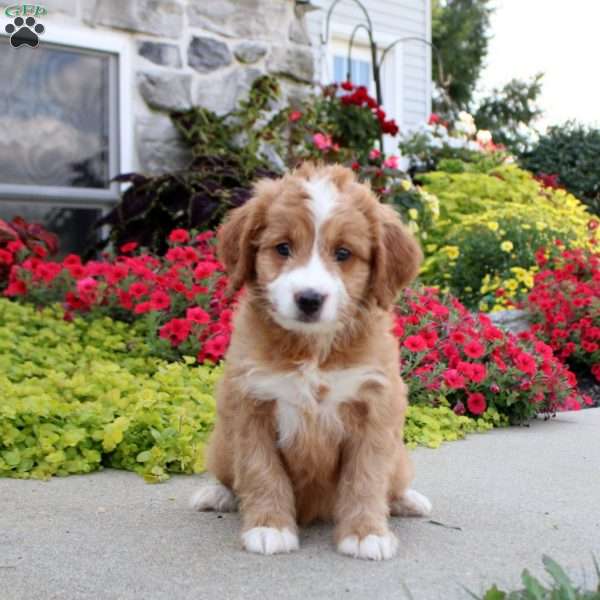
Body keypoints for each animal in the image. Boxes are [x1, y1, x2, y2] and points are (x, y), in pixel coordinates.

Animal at [192, 162, 432, 560]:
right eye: (283, 248)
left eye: (344, 253)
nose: (309, 299)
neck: (313, 352)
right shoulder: (248, 405)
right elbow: (260, 471)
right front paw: (269, 527)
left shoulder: (376, 408)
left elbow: (366, 477)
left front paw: (366, 533)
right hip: (221, 446)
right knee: (229, 476)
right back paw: (216, 494)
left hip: (399, 458)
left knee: (393, 483)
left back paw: (407, 501)